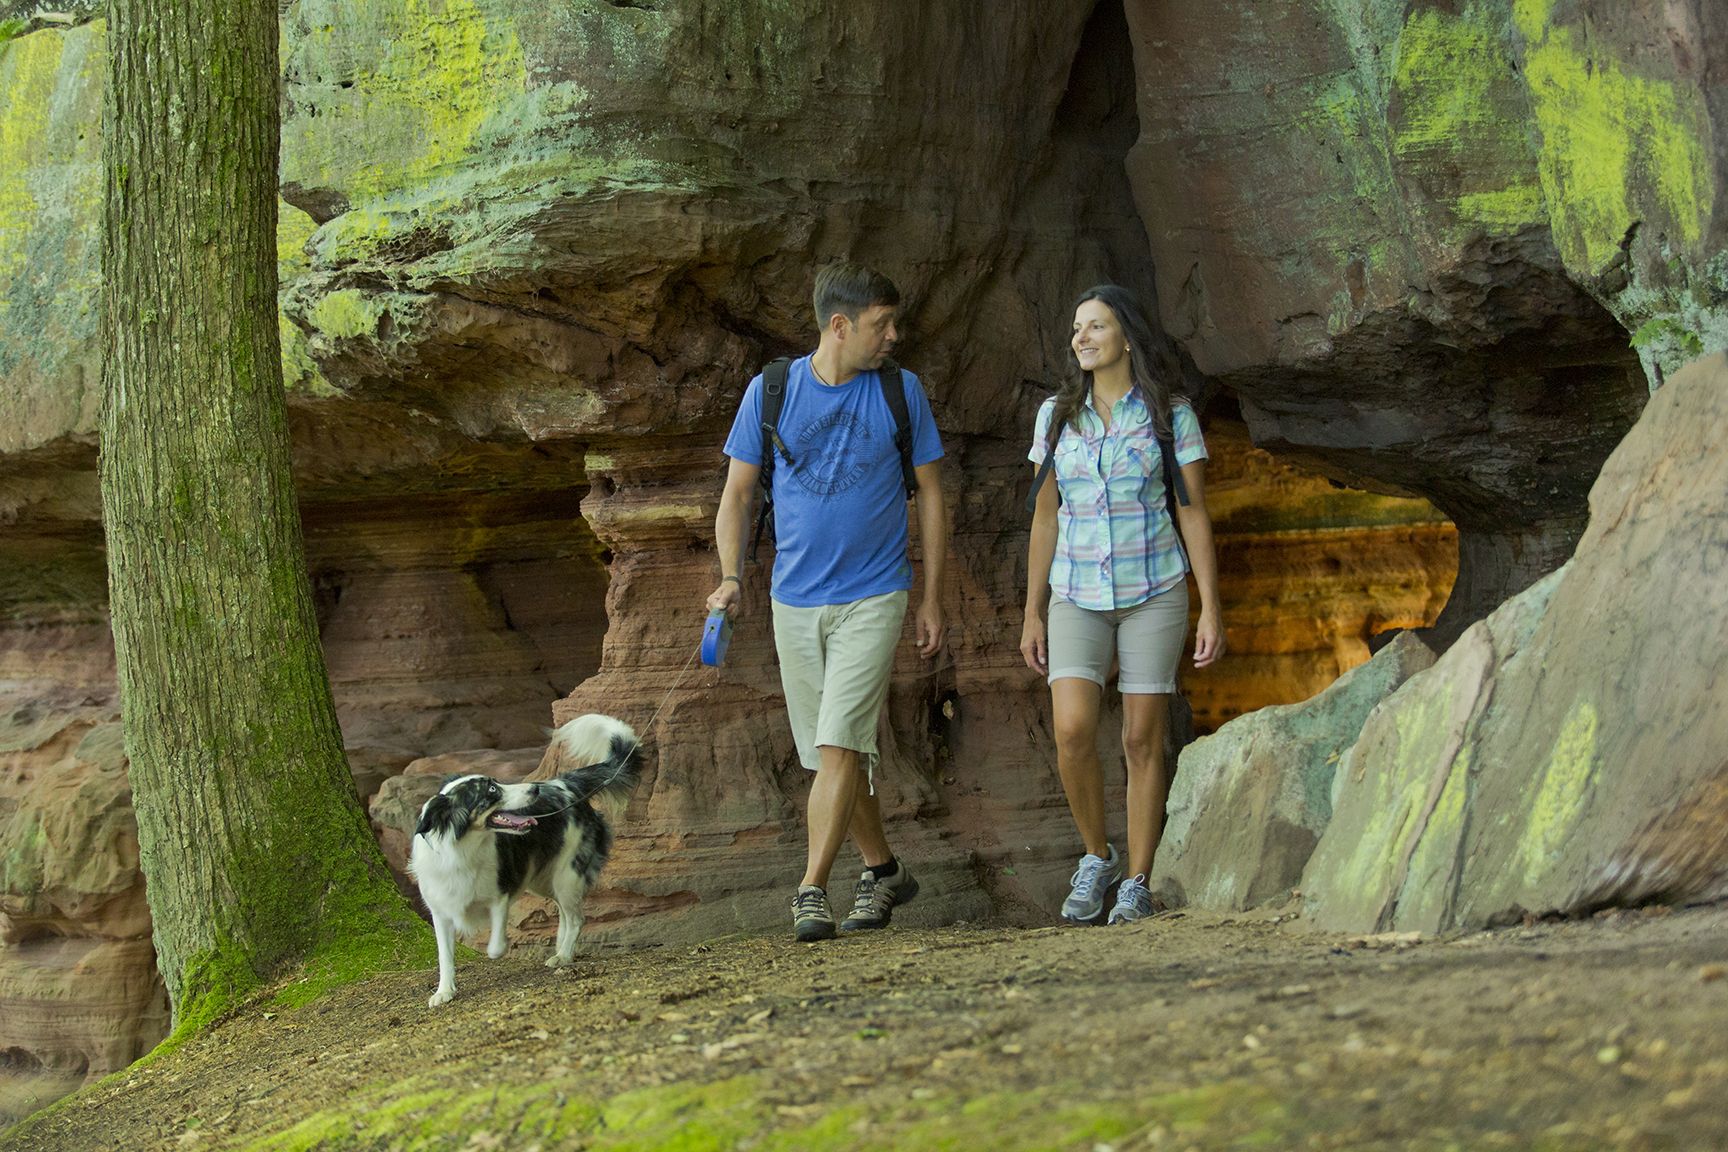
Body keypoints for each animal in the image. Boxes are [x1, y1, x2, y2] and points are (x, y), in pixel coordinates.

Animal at [411, 715, 642, 1001]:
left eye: (496, 782)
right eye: (492, 789)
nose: (533, 788)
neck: (463, 850)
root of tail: (568, 785)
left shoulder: (501, 894)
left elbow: (495, 947)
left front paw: (501, 948)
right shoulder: (441, 912)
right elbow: (444, 957)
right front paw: (444, 992)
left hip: (567, 876)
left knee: (577, 918)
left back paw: (564, 955)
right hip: (545, 881)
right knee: (566, 914)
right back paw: (560, 948)